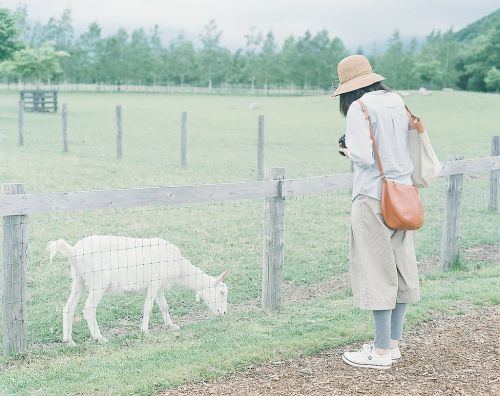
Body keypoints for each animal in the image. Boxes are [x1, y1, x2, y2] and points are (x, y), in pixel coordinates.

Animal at [47, 237, 230, 344]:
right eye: (221, 292)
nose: (224, 313)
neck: (179, 266)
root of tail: (74, 251)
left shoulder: (159, 286)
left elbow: (164, 306)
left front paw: (171, 326)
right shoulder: (154, 283)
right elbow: (148, 307)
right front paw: (145, 331)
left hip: (78, 279)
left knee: (68, 308)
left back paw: (68, 340)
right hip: (99, 282)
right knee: (88, 309)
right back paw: (99, 338)